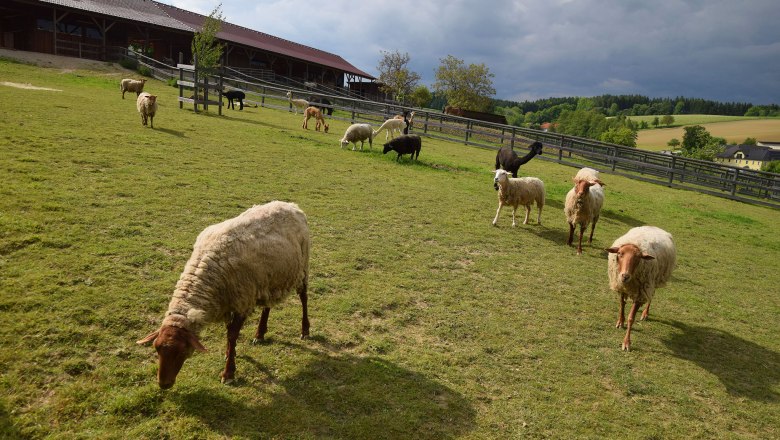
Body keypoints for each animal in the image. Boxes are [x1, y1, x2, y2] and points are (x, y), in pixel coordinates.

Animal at [137, 200, 310, 388]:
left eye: (182, 352)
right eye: (156, 348)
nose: (164, 384)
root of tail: (290, 205)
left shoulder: (243, 300)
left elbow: (232, 335)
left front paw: (228, 372)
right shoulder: (228, 302)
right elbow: (229, 334)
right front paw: (229, 353)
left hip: (303, 267)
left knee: (304, 297)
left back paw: (305, 330)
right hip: (270, 279)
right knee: (267, 305)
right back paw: (260, 334)